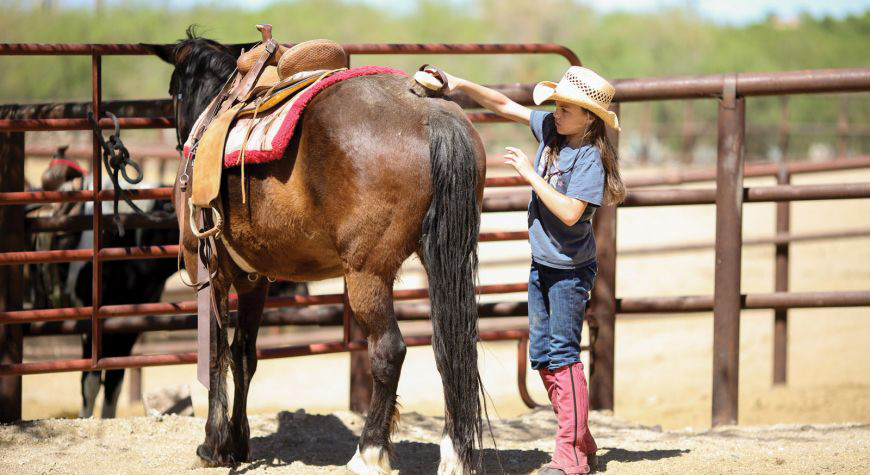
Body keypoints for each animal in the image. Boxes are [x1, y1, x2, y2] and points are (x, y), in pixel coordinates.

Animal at [145, 29, 487, 474]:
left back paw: (369, 452)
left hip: (366, 273)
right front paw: (238, 443)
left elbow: (217, 353)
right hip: (444, 259)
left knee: (389, 350)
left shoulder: (210, 269)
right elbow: (244, 355)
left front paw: (214, 445)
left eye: (173, 89)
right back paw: (454, 456)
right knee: (452, 350)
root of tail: (430, 113)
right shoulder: (255, 279)